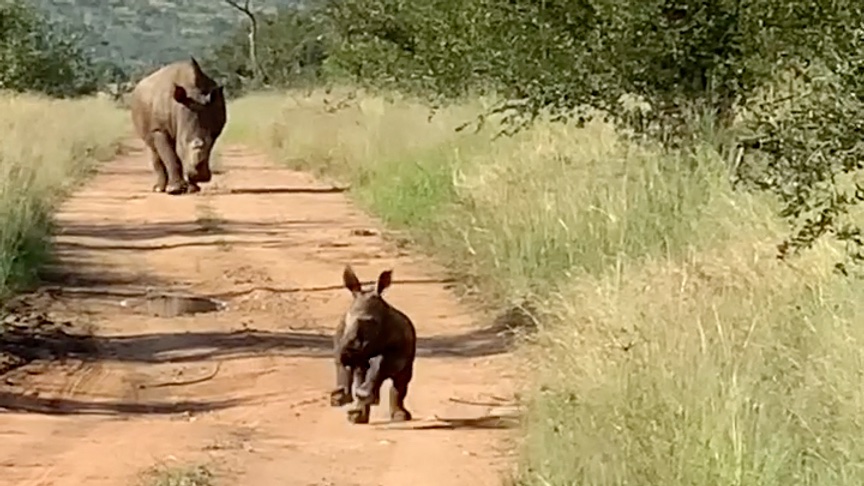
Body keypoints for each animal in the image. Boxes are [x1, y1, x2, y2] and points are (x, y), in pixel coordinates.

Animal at [130, 57, 227, 195]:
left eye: (210, 142)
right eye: (182, 143)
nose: (201, 177)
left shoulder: (214, 128)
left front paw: (192, 189)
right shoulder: (160, 129)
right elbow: (171, 156)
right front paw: (175, 190)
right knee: (153, 148)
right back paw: (159, 189)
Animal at [330, 265, 417, 424]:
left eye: (371, 321)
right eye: (347, 320)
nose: (348, 352)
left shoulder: (397, 350)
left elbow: (380, 364)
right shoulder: (343, 339)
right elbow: (347, 365)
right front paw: (342, 398)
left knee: (401, 380)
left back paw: (399, 416)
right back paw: (354, 413)